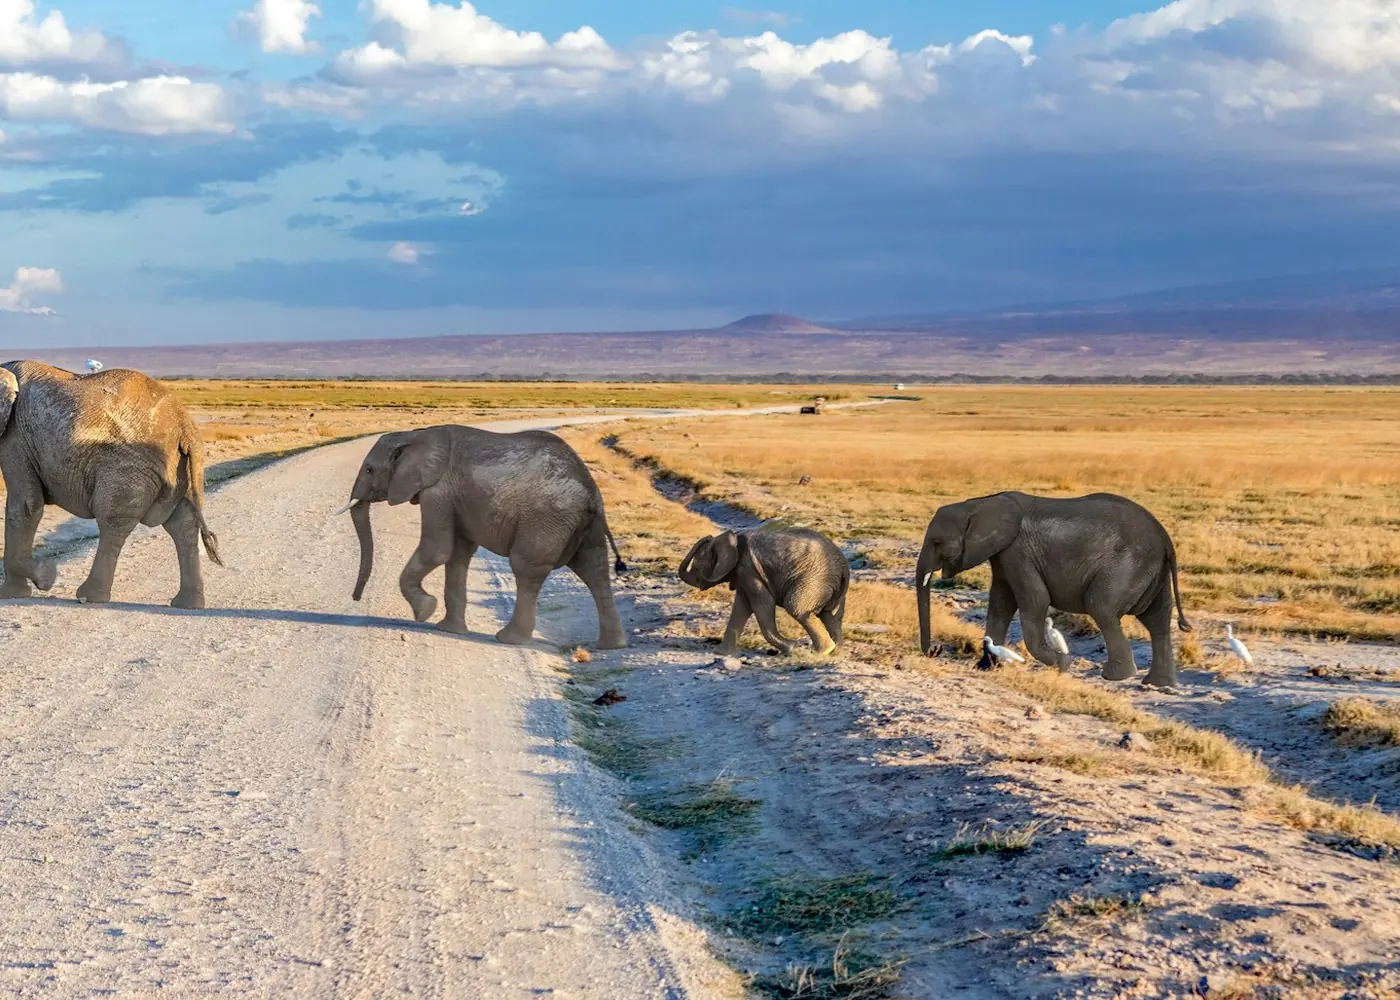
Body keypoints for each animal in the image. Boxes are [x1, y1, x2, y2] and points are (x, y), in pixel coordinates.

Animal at [0, 360, 222, 608]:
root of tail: (185, 425)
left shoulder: (15, 436)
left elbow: (25, 505)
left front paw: (43, 576)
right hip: (181, 468)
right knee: (183, 525)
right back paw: (187, 603)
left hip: (128, 467)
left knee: (113, 522)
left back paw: (90, 596)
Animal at [340, 425, 628, 648]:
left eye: (369, 470)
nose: (355, 598)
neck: (414, 435)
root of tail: (591, 490)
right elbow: (457, 554)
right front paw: (448, 629)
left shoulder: (438, 491)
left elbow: (438, 549)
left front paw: (424, 611)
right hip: (582, 524)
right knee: (594, 570)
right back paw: (612, 645)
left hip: (547, 518)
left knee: (527, 568)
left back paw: (509, 639)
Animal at [678, 525, 849, 656]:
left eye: (697, 567)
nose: (707, 536)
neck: (733, 538)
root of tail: (844, 568)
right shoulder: (744, 573)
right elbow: (741, 607)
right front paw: (723, 653)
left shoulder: (749, 569)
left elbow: (763, 604)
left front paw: (791, 648)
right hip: (830, 585)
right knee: (831, 616)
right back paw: (835, 653)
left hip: (814, 579)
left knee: (796, 607)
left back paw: (820, 652)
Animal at [916, 491, 1191, 688]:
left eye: (937, 543)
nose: (934, 650)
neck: (978, 503)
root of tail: (1165, 539)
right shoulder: (1004, 555)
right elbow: (1001, 603)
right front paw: (985, 667)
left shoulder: (1019, 552)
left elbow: (1035, 600)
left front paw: (1062, 664)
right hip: (1151, 569)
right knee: (1157, 620)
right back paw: (1159, 684)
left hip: (1127, 565)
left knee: (1101, 607)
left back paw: (1115, 677)